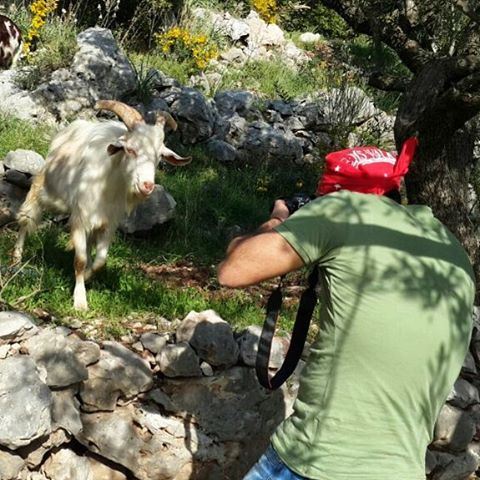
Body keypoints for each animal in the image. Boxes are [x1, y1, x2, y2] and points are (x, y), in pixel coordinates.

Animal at [13, 101, 189, 312]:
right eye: (130, 149)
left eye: (159, 156)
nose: (147, 186)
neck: (108, 185)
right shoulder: (80, 219)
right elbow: (80, 261)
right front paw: (80, 300)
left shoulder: (108, 224)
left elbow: (100, 261)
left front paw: (88, 276)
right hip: (46, 191)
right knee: (27, 218)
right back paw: (16, 260)